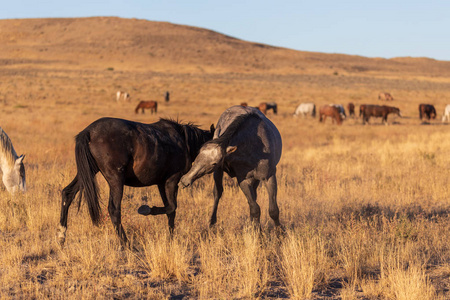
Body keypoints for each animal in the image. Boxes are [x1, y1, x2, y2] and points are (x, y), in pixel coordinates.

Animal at [58, 117, 214, 246]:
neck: (183, 140)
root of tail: (89, 132)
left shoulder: (161, 183)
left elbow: (171, 211)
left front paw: (171, 239)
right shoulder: (172, 180)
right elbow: (171, 207)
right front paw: (147, 210)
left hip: (88, 172)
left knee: (67, 193)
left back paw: (61, 236)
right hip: (115, 179)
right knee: (114, 209)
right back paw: (126, 244)